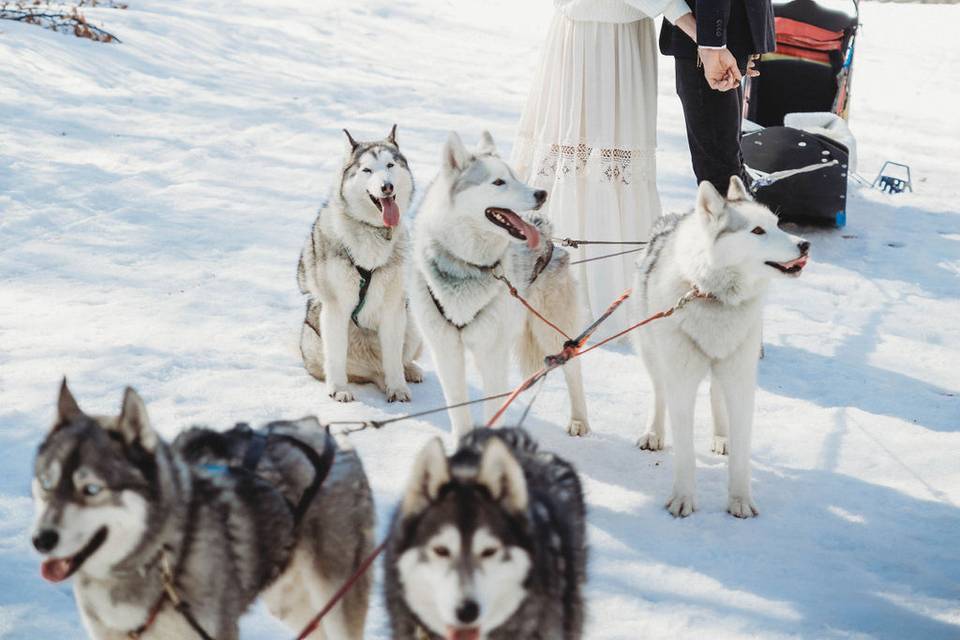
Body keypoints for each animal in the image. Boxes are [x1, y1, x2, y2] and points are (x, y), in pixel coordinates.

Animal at [30, 382, 376, 636]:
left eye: (91, 489)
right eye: (46, 483)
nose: (41, 540)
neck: (160, 557)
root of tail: (332, 434)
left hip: (336, 596)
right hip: (289, 600)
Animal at [298, 124, 422, 402]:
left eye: (390, 165)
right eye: (367, 170)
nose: (386, 187)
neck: (373, 230)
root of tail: (373, 368)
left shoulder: (393, 307)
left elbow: (394, 359)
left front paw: (398, 388)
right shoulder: (336, 307)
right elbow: (335, 358)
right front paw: (339, 390)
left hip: (411, 323)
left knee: (397, 360)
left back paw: (409, 371)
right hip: (313, 336)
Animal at [410, 130, 588, 440]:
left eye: (514, 177)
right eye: (498, 182)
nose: (542, 194)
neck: (467, 265)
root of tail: (546, 232)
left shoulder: (492, 353)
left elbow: (494, 407)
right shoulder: (446, 350)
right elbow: (458, 408)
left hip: (551, 330)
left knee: (573, 368)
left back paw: (579, 420)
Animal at [632, 178, 808, 516]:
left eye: (777, 224)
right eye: (757, 231)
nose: (805, 244)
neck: (712, 296)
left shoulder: (741, 382)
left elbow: (741, 453)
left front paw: (740, 500)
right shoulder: (681, 383)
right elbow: (685, 452)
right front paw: (683, 498)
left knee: (716, 392)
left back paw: (721, 436)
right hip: (652, 354)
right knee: (659, 390)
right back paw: (654, 432)